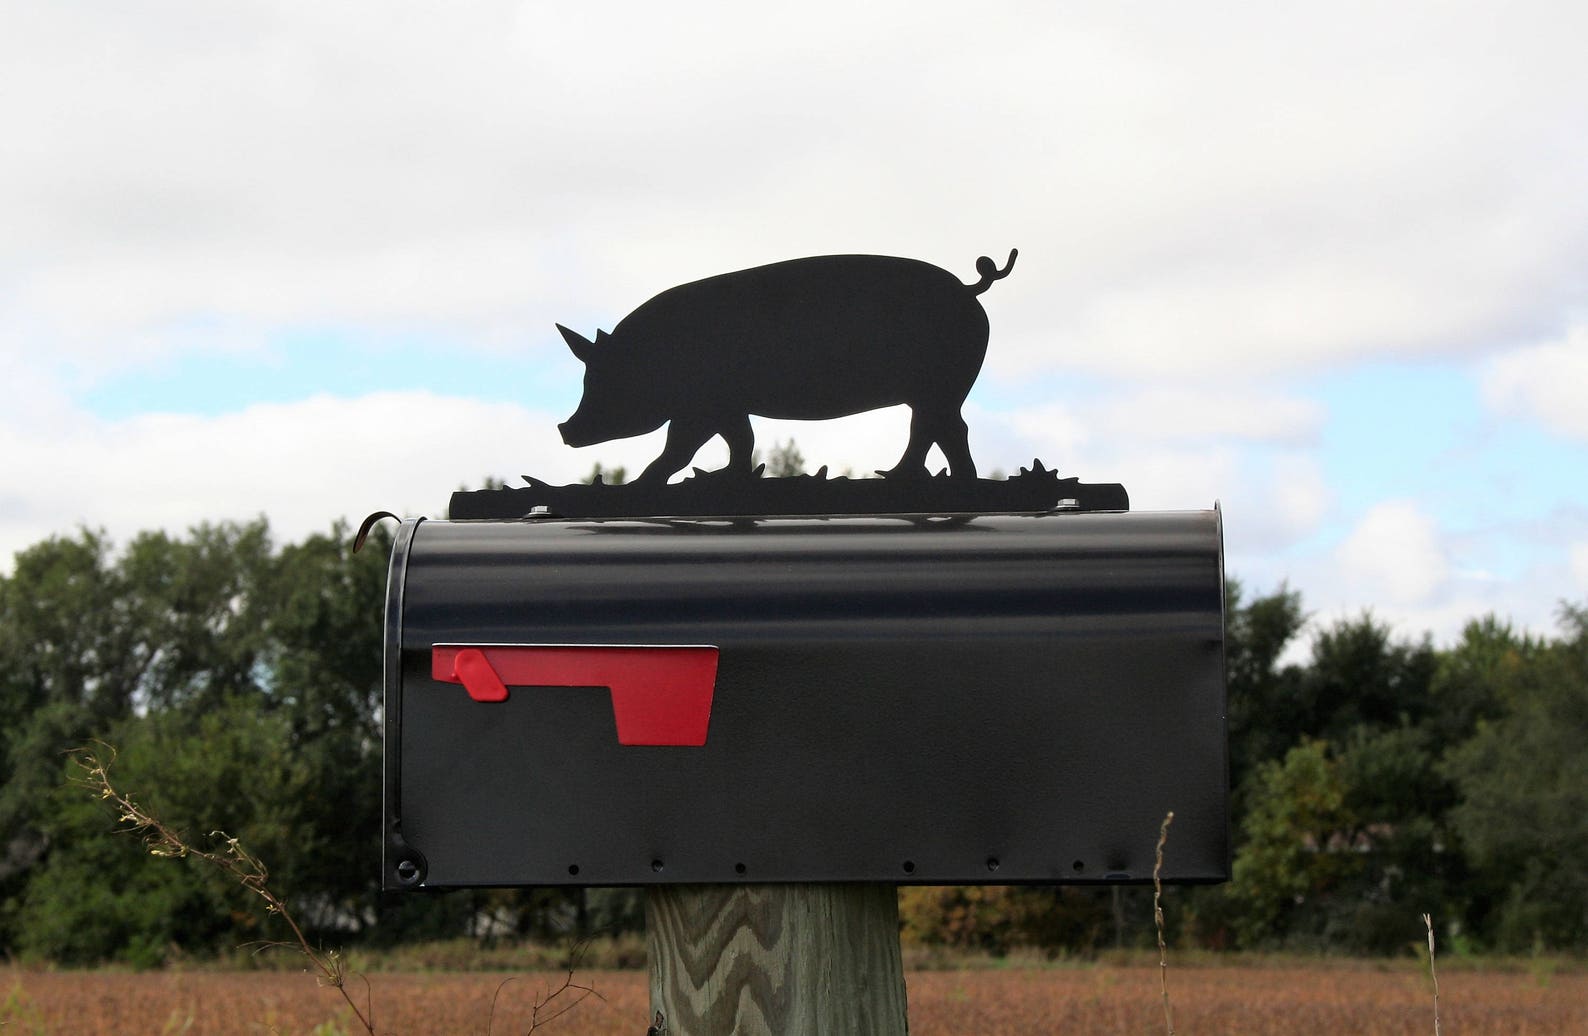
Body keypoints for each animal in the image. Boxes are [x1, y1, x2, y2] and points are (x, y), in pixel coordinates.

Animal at [556, 249, 1017, 485]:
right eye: (588, 379)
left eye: (604, 381)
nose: (564, 430)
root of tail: (969, 288)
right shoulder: (727, 405)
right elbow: (741, 440)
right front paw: (727, 477)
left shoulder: (702, 406)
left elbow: (680, 448)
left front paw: (641, 485)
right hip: (938, 391)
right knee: (941, 428)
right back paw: (921, 477)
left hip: (940, 386)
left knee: (937, 428)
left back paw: (907, 477)